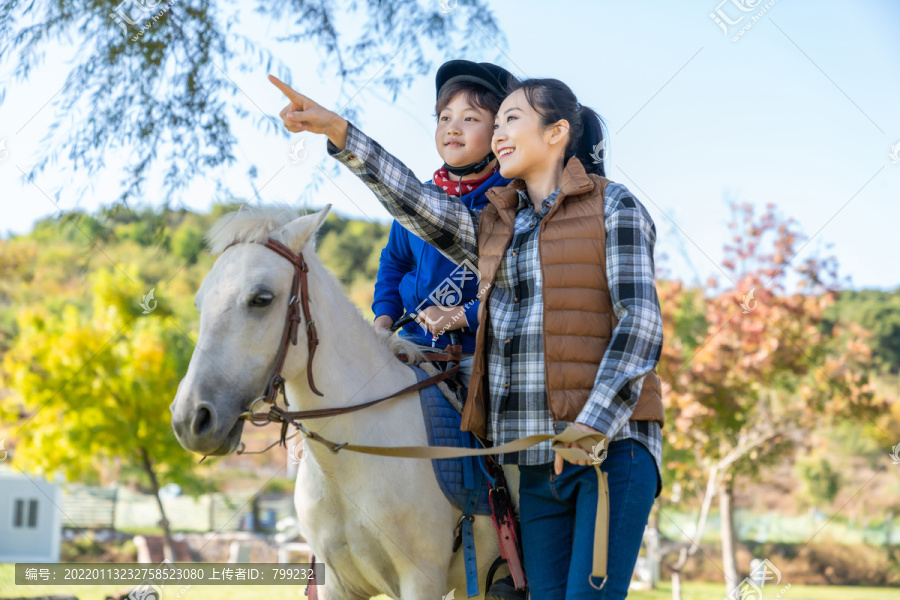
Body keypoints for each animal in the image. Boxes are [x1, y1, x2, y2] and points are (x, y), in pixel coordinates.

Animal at [171, 204, 500, 596]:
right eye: (200, 301)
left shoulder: (422, 580)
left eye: (261, 299)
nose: (190, 418)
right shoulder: (335, 583)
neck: (348, 457)